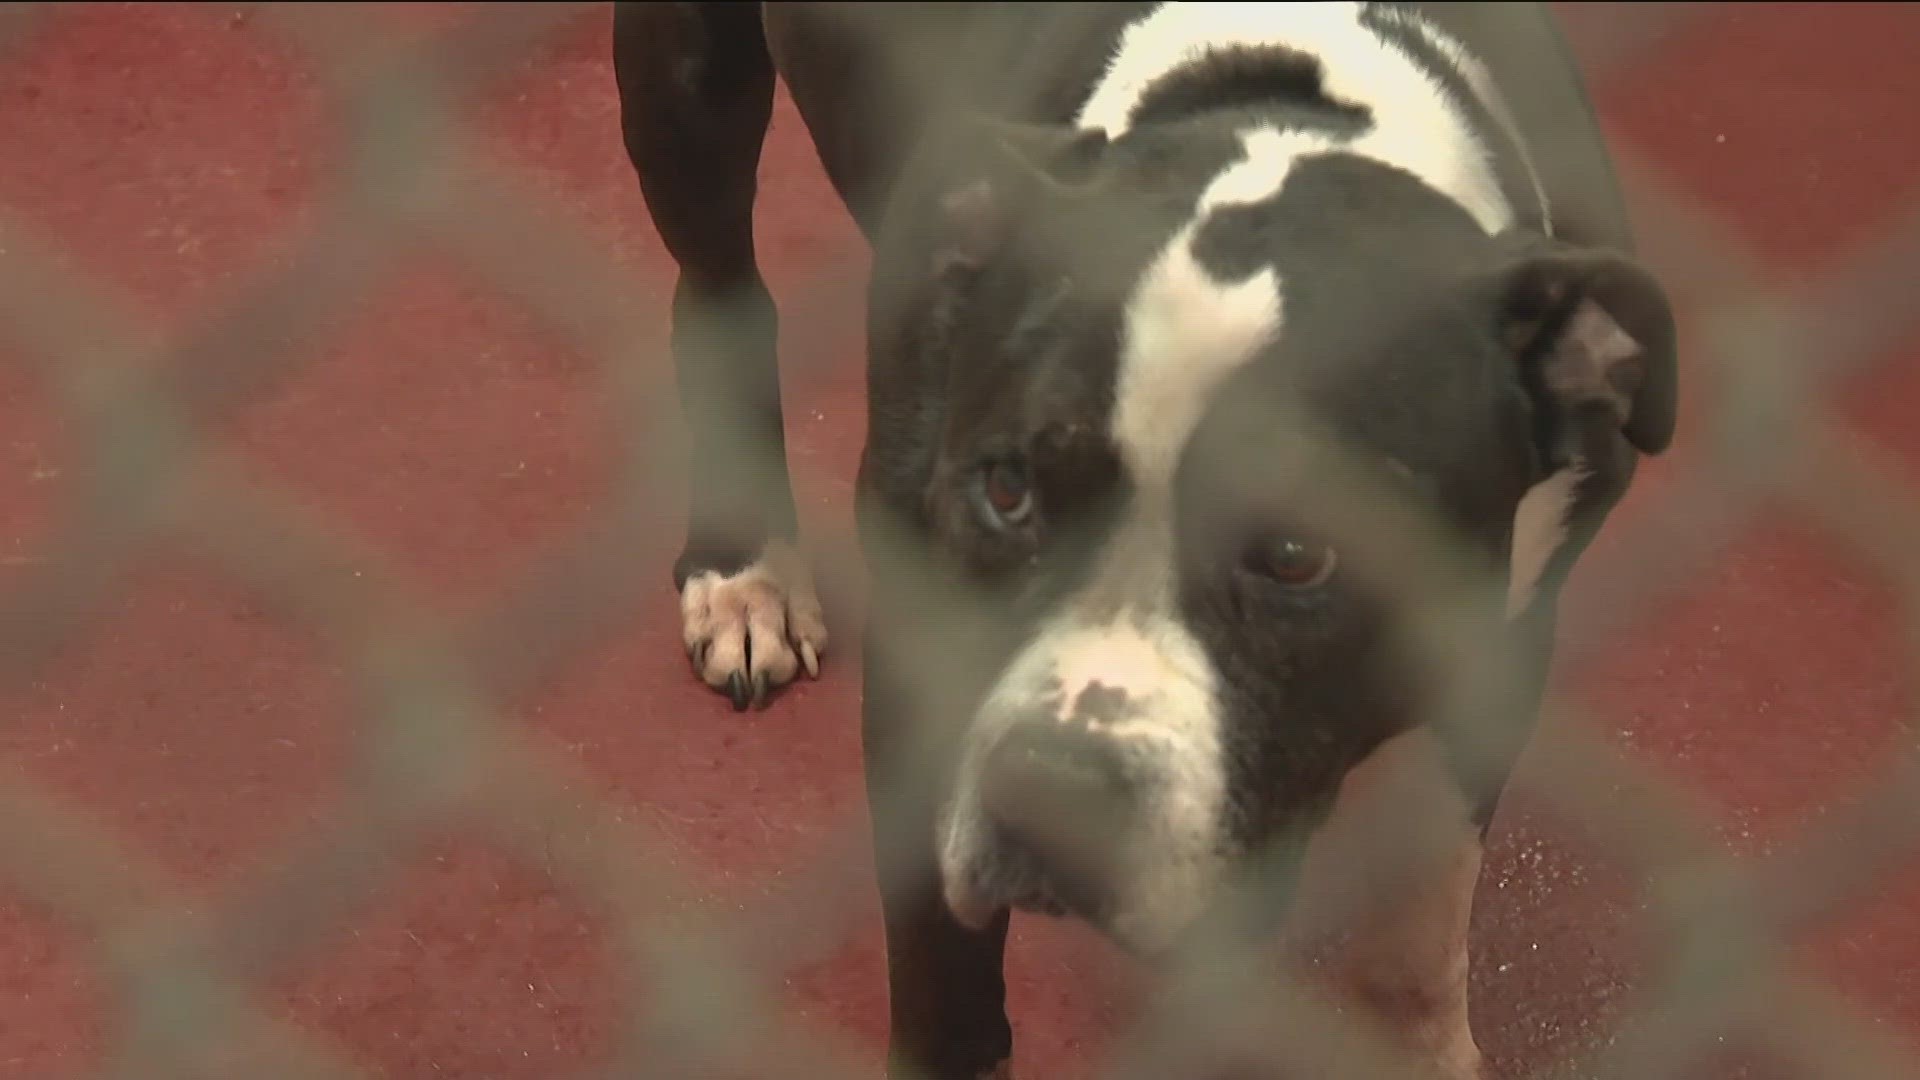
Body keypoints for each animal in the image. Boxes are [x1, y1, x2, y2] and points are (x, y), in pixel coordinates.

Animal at [610, 4, 1666, 1068]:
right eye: (1007, 489)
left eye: (1300, 553)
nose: (1051, 797)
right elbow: (942, 965)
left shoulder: (1498, 641)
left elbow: (1418, 928)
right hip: (689, 97)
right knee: (716, 296)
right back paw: (744, 571)